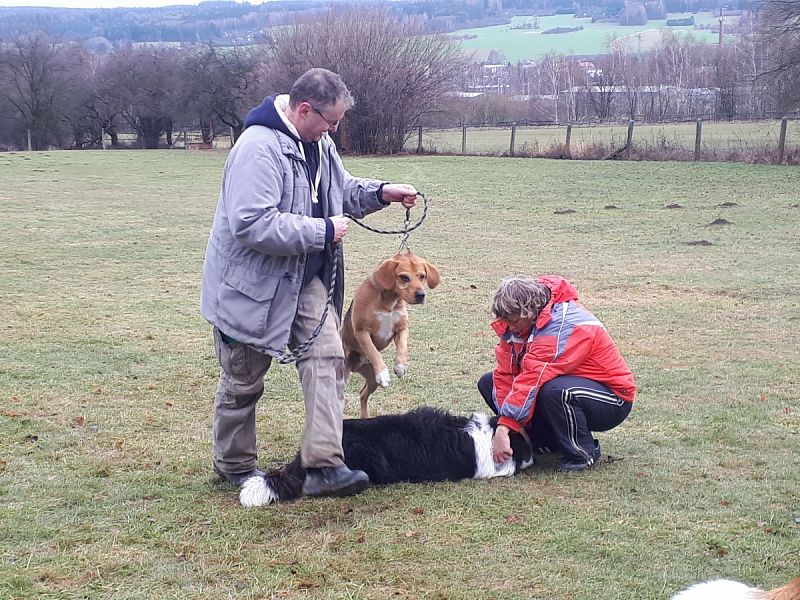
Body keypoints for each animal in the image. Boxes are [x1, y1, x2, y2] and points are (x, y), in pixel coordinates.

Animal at [340, 252, 440, 418]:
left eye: (422, 276)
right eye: (404, 277)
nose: (421, 295)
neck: (389, 302)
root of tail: (355, 367)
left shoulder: (401, 328)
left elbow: (403, 347)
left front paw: (400, 366)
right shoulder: (362, 332)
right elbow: (373, 352)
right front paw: (383, 374)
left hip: (371, 381)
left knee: (362, 394)